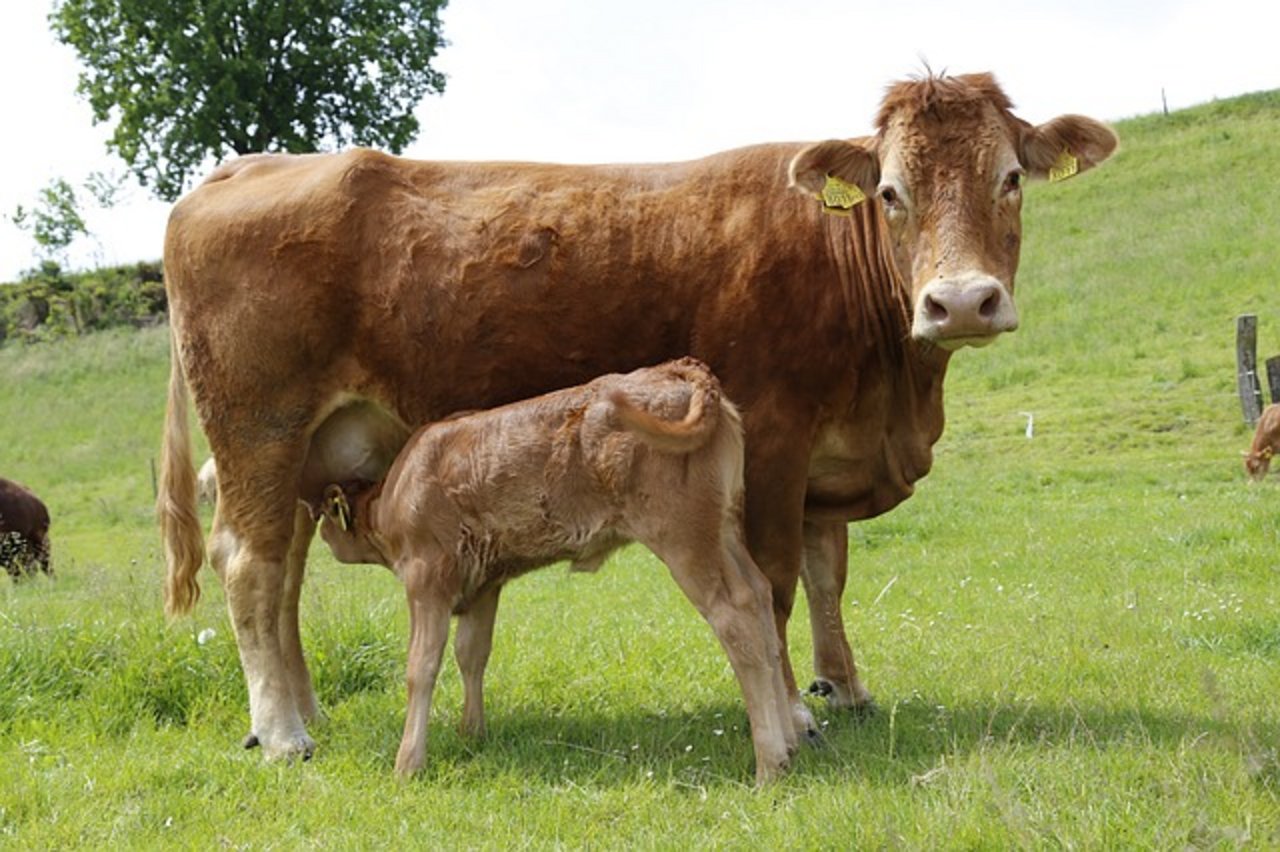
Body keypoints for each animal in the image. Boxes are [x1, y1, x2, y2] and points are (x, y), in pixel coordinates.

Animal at [309, 358, 793, 782]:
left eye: (327, 516)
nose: (321, 530)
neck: (399, 488)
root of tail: (675, 370)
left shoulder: (427, 576)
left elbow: (421, 666)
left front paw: (408, 763)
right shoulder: (484, 584)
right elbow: (472, 654)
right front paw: (472, 733)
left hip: (685, 539)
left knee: (735, 618)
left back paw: (769, 764)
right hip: (724, 530)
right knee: (760, 596)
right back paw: (790, 744)